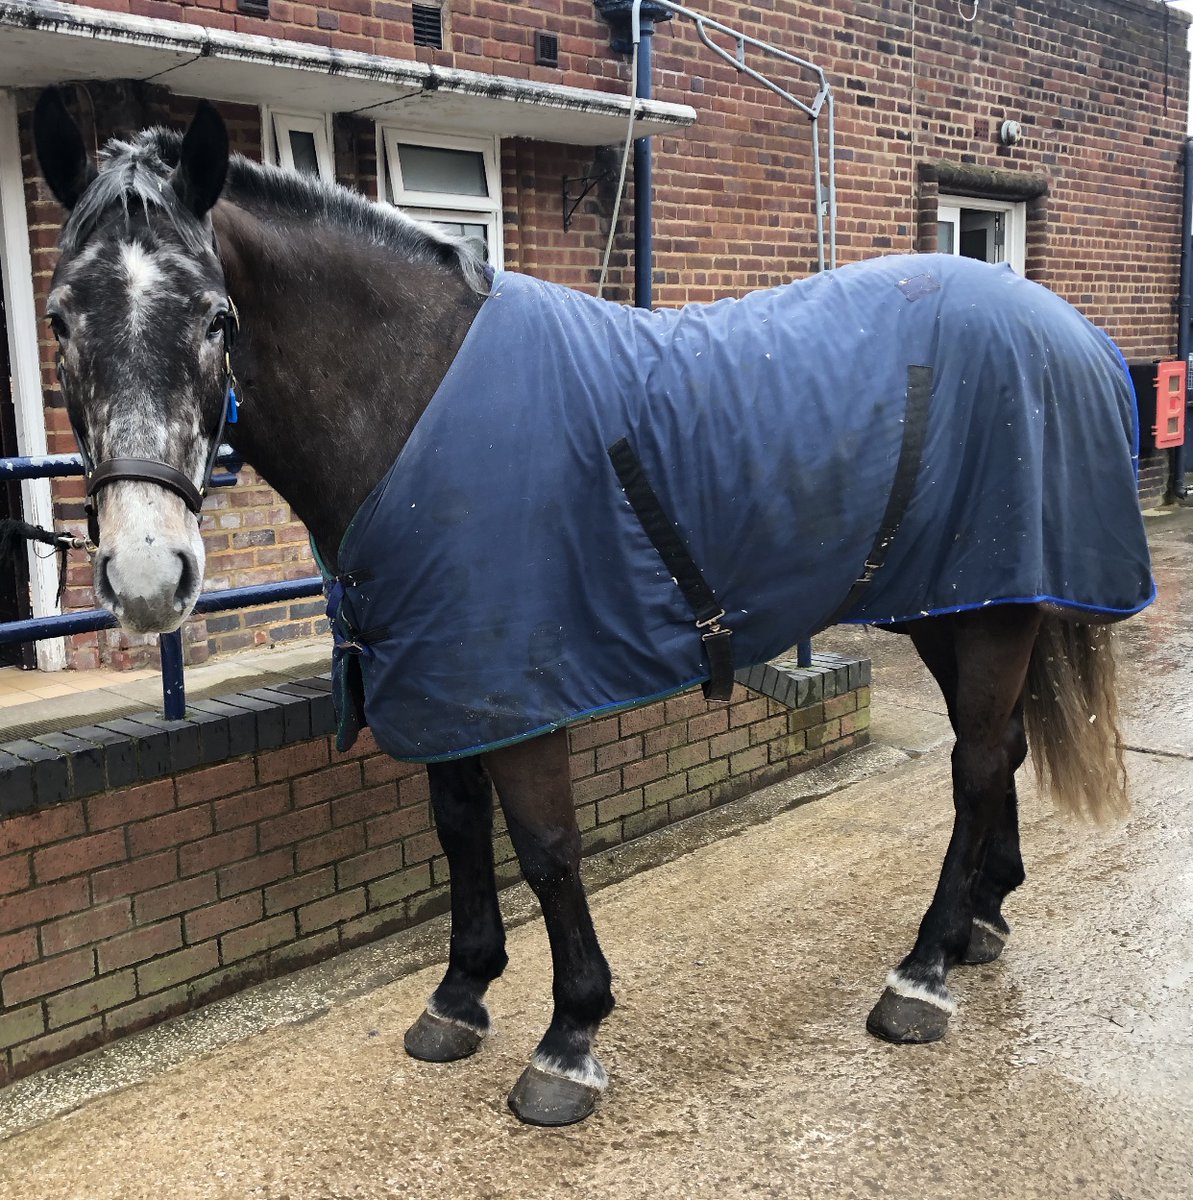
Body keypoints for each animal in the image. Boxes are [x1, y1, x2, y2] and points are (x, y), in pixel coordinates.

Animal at [31, 92, 1153, 1127]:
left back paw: (920, 974)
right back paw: (980, 923)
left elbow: (546, 849)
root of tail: (1065, 327)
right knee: (997, 751)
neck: (414, 403)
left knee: (973, 766)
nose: (146, 573)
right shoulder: (438, 677)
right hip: (956, 604)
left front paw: (567, 1038)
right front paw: (459, 996)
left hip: (989, 612)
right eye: (59, 319)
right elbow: (457, 828)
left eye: (216, 317)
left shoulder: (512, 684)